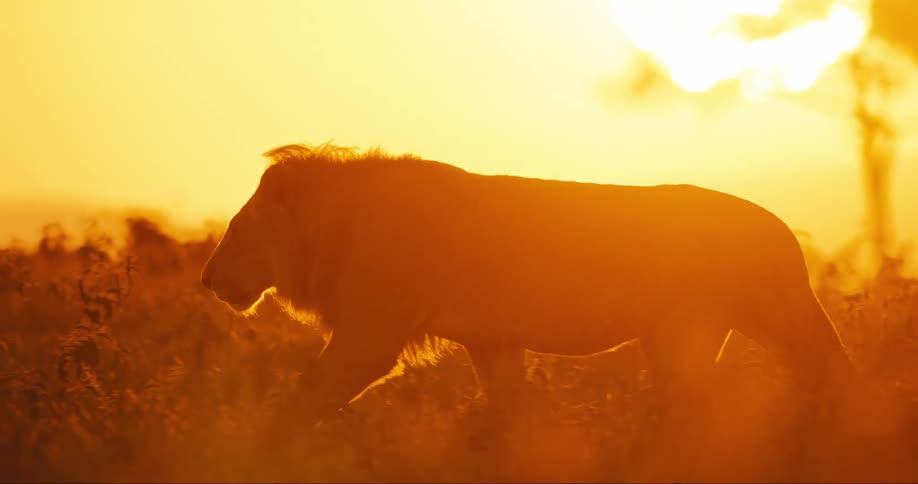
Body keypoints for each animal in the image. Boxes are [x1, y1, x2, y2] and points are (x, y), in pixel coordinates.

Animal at [200, 143, 858, 427]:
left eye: (242, 225)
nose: (206, 279)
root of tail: (782, 229)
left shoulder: (371, 335)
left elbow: (305, 397)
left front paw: (261, 446)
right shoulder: (492, 343)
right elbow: (507, 411)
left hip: (735, 322)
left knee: (823, 370)